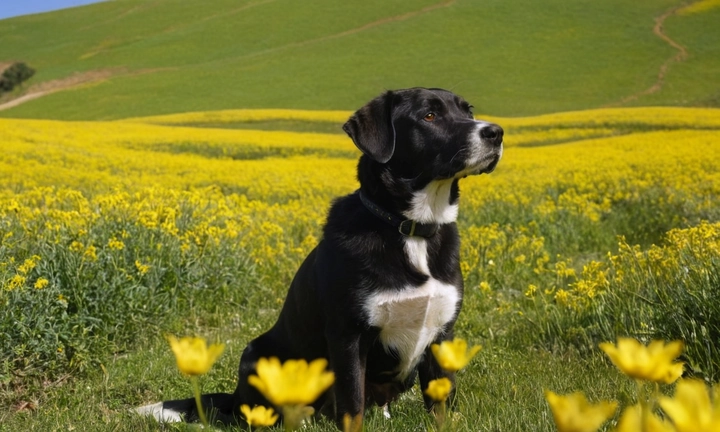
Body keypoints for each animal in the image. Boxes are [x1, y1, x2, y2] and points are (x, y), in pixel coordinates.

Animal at [138, 87, 504, 426]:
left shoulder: (442, 334)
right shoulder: (348, 336)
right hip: (256, 354)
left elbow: (441, 406)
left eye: (467, 111)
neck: (410, 229)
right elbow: (352, 408)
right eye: (429, 115)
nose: (496, 132)